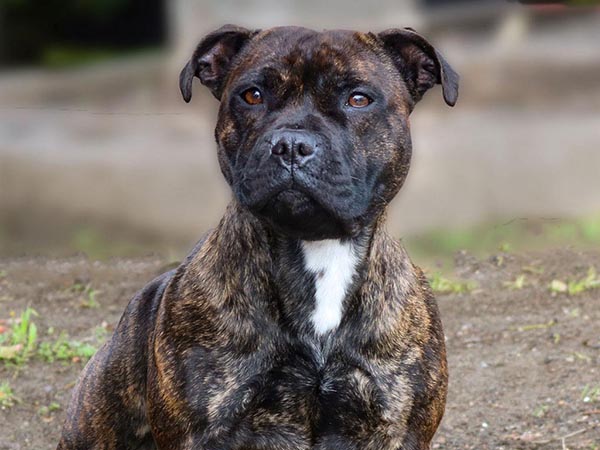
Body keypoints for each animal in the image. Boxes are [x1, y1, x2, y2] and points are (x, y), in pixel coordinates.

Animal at [57, 24, 460, 450]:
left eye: (358, 99)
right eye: (252, 95)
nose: (292, 145)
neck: (318, 250)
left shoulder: (396, 428)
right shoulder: (202, 431)